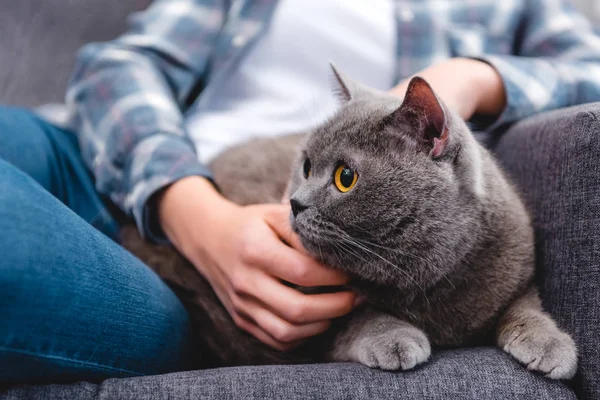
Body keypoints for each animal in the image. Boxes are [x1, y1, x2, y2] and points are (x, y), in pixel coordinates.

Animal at [120, 67, 576, 380]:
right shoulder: (312, 330)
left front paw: (551, 345)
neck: (426, 281)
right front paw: (396, 339)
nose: (295, 203)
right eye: (305, 166)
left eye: (345, 177)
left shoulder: (515, 270)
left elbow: (526, 304)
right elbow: (360, 318)